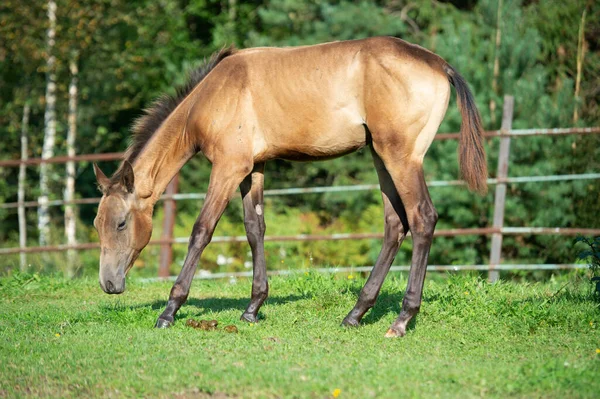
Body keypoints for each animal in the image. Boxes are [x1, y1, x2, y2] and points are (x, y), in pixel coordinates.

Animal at [94, 36, 488, 338]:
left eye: (121, 223)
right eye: (98, 225)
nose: (109, 284)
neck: (213, 94)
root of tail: (439, 64)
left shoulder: (227, 168)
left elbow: (202, 231)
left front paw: (170, 310)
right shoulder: (253, 168)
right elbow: (255, 229)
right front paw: (253, 307)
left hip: (401, 157)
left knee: (422, 219)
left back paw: (401, 320)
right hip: (381, 156)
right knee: (395, 225)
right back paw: (355, 313)